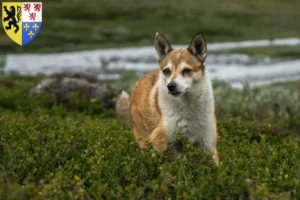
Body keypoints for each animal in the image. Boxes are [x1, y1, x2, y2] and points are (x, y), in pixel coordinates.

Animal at [116, 32, 219, 165]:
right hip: (147, 143)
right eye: (166, 71)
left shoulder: (208, 144)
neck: (187, 105)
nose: (170, 86)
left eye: (186, 70)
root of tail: (138, 83)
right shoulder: (159, 140)